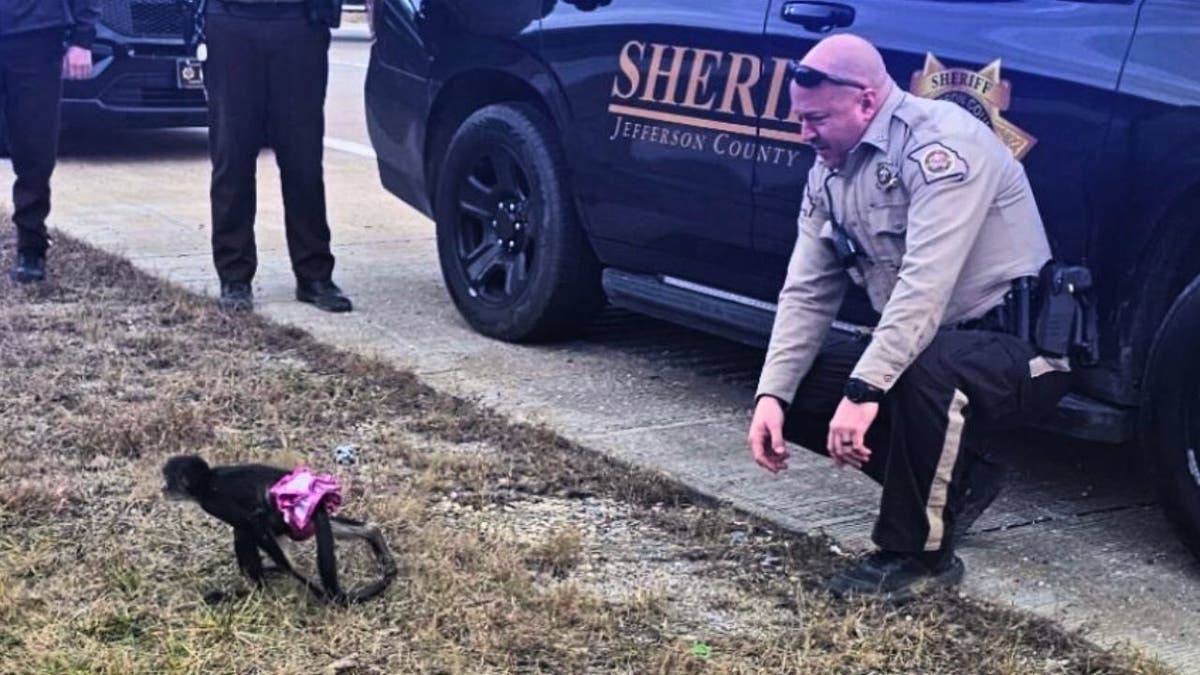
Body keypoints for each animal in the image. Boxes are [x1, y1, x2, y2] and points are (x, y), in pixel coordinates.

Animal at [163, 451, 398, 605]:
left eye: (168, 481)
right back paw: (372, 531)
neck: (208, 480)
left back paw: (256, 590)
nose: (163, 489)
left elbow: (252, 522)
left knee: (243, 531)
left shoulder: (213, 502)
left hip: (283, 519)